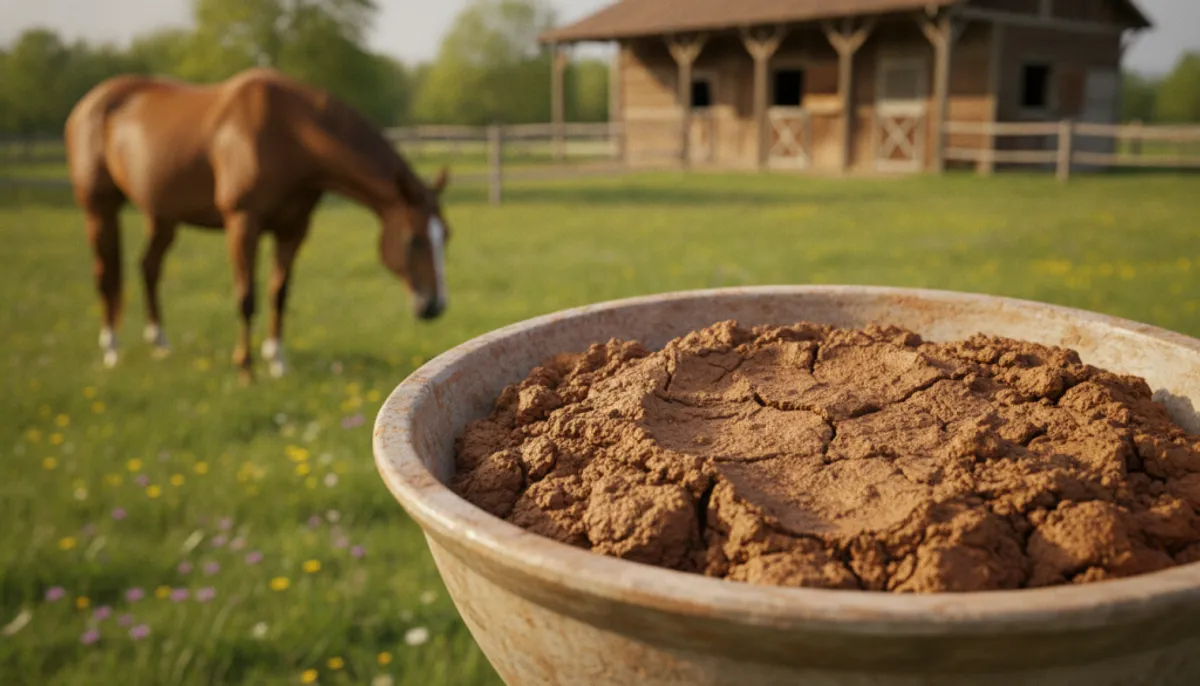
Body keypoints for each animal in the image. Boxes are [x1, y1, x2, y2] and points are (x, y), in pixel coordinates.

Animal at [64, 67, 451, 381]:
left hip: (161, 214)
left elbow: (279, 292)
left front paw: (277, 361)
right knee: (106, 274)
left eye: (445, 236)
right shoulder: (243, 223)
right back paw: (111, 349)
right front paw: (246, 369)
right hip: (99, 207)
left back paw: (160, 342)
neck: (291, 134)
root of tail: (90, 102)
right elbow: (247, 296)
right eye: (414, 240)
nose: (435, 306)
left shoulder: (293, 229)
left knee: (149, 267)